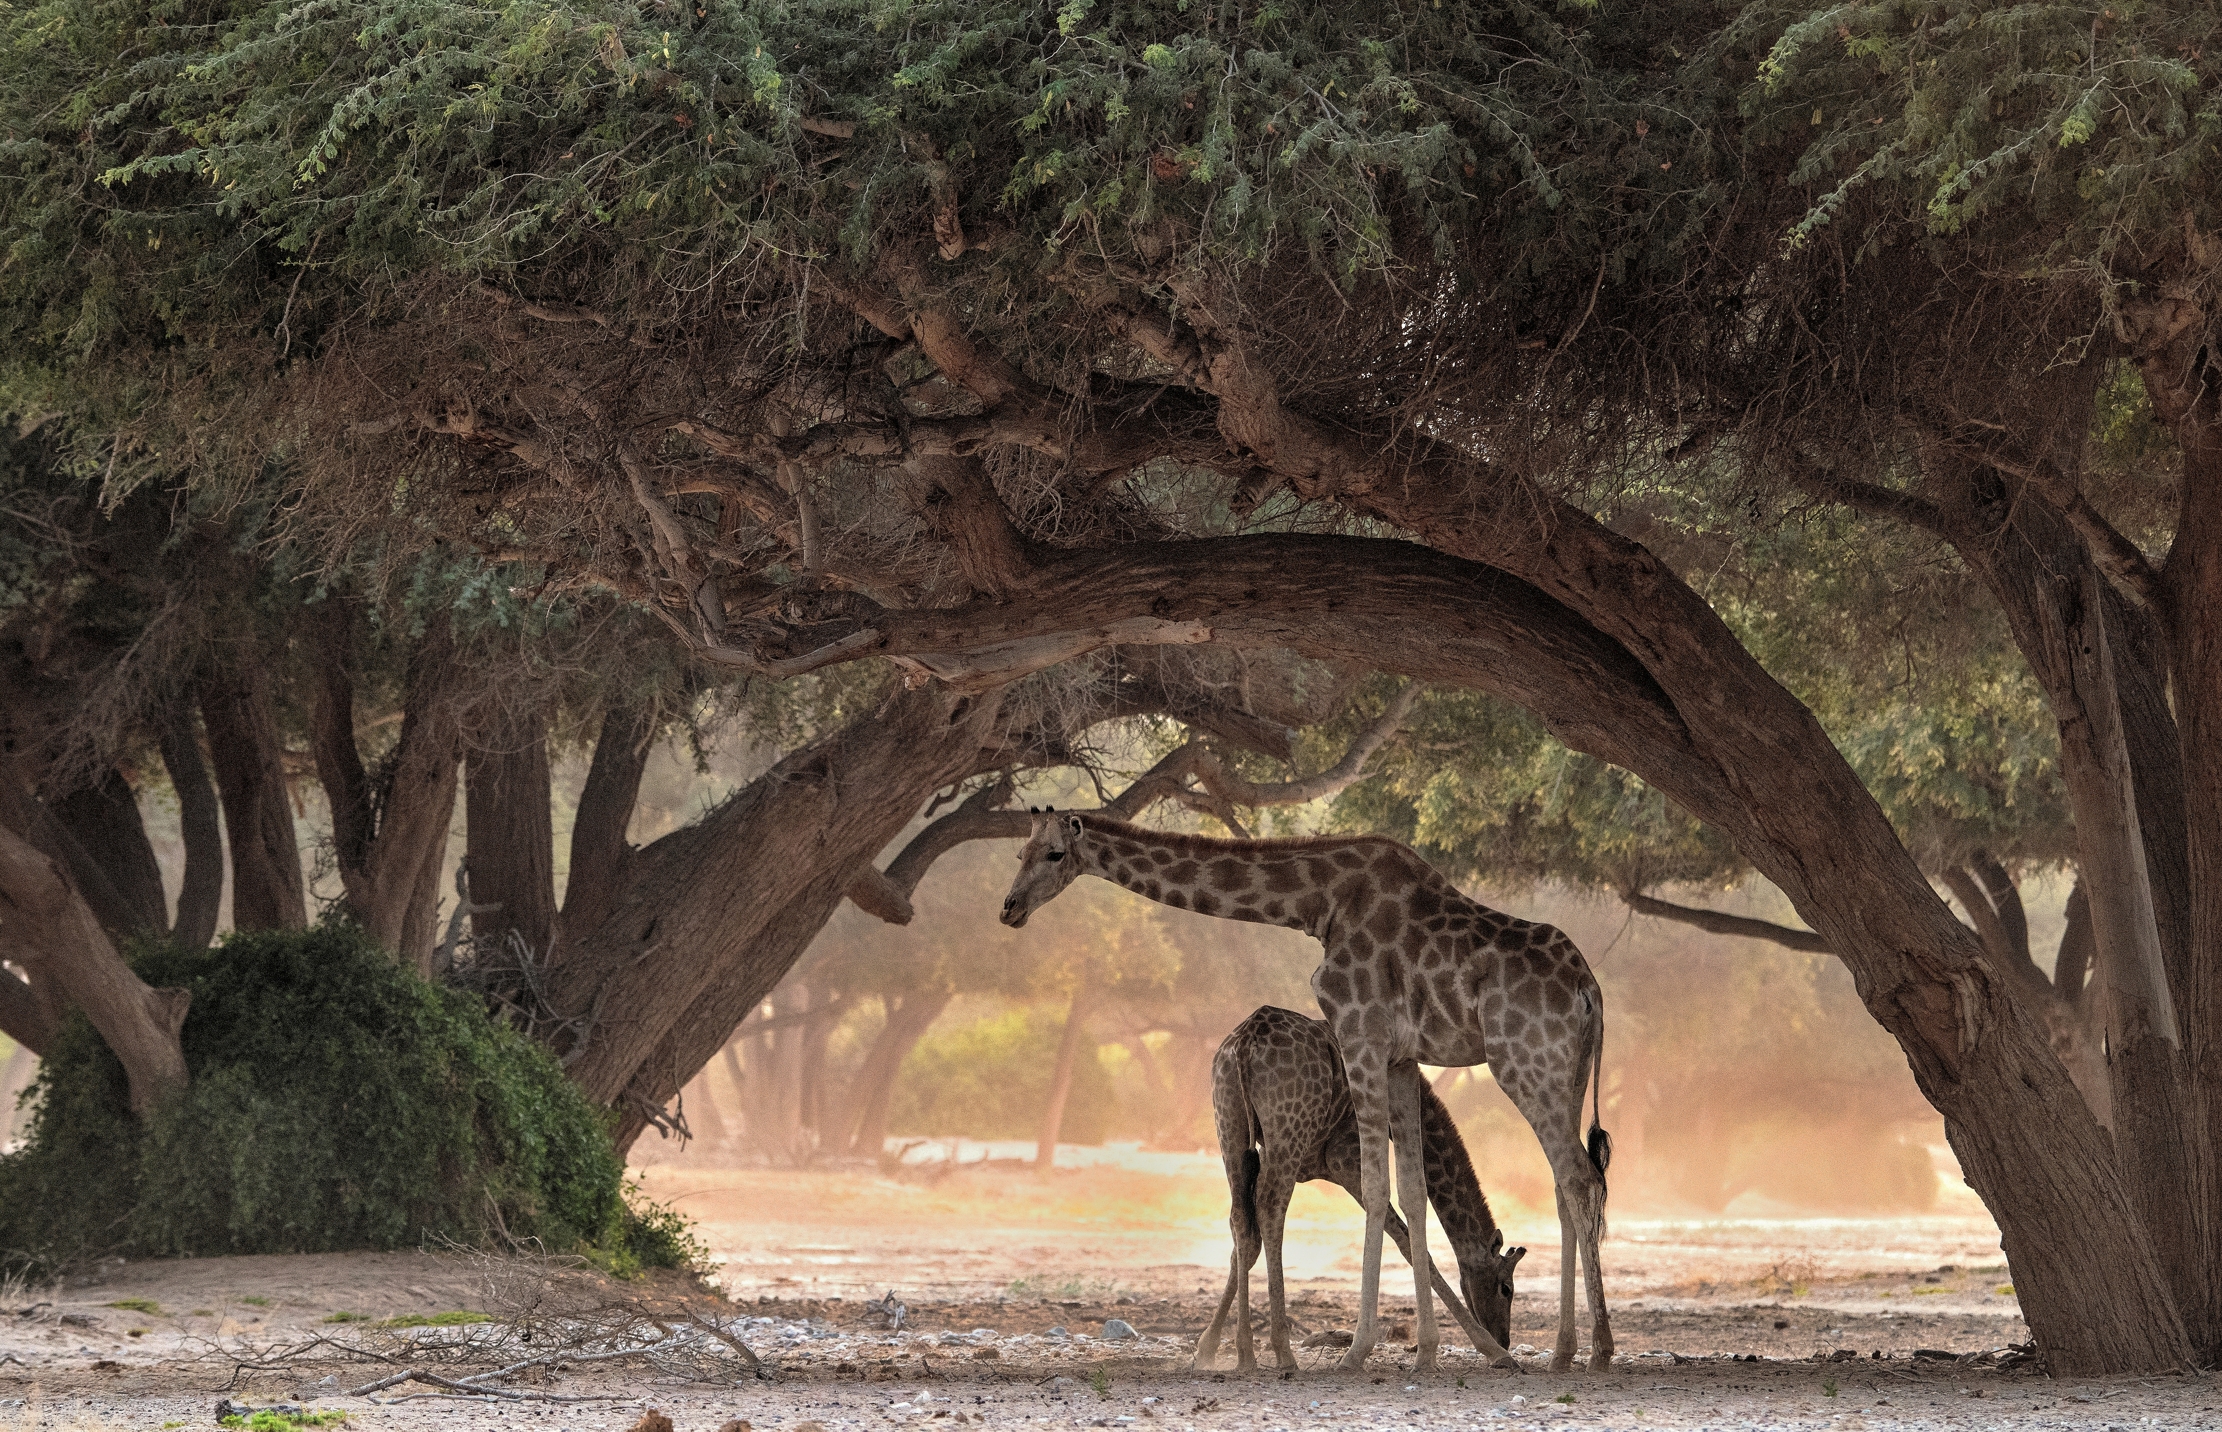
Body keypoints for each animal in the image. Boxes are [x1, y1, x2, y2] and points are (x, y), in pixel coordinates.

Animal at [1194, 1004, 1527, 1373]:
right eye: (1506, 1288)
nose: (1503, 1337)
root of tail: (1246, 1041)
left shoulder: (1272, 1155)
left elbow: (1244, 1245)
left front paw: (1207, 1348)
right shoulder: (1345, 1159)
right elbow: (1408, 1243)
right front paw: (1492, 1351)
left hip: (1231, 1127)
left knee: (1242, 1218)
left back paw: (1246, 1353)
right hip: (1287, 1135)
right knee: (1271, 1207)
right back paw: (1283, 1351)